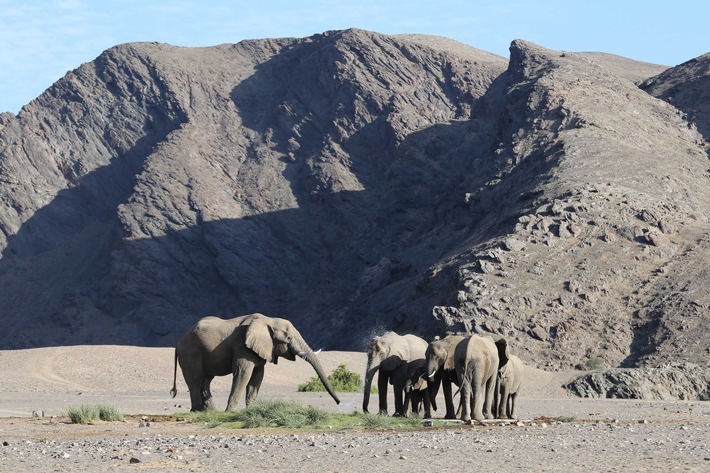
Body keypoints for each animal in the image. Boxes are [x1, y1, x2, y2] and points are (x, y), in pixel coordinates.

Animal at [171, 314, 340, 410]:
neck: (268, 321)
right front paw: (230, 412)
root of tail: (179, 341)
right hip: (190, 352)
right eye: (289, 338)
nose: (338, 403)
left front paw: (251, 410)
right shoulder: (242, 345)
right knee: (196, 379)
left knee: (206, 381)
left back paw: (210, 412)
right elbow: (243, 373)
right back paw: (197, 411)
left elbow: (258, 376)